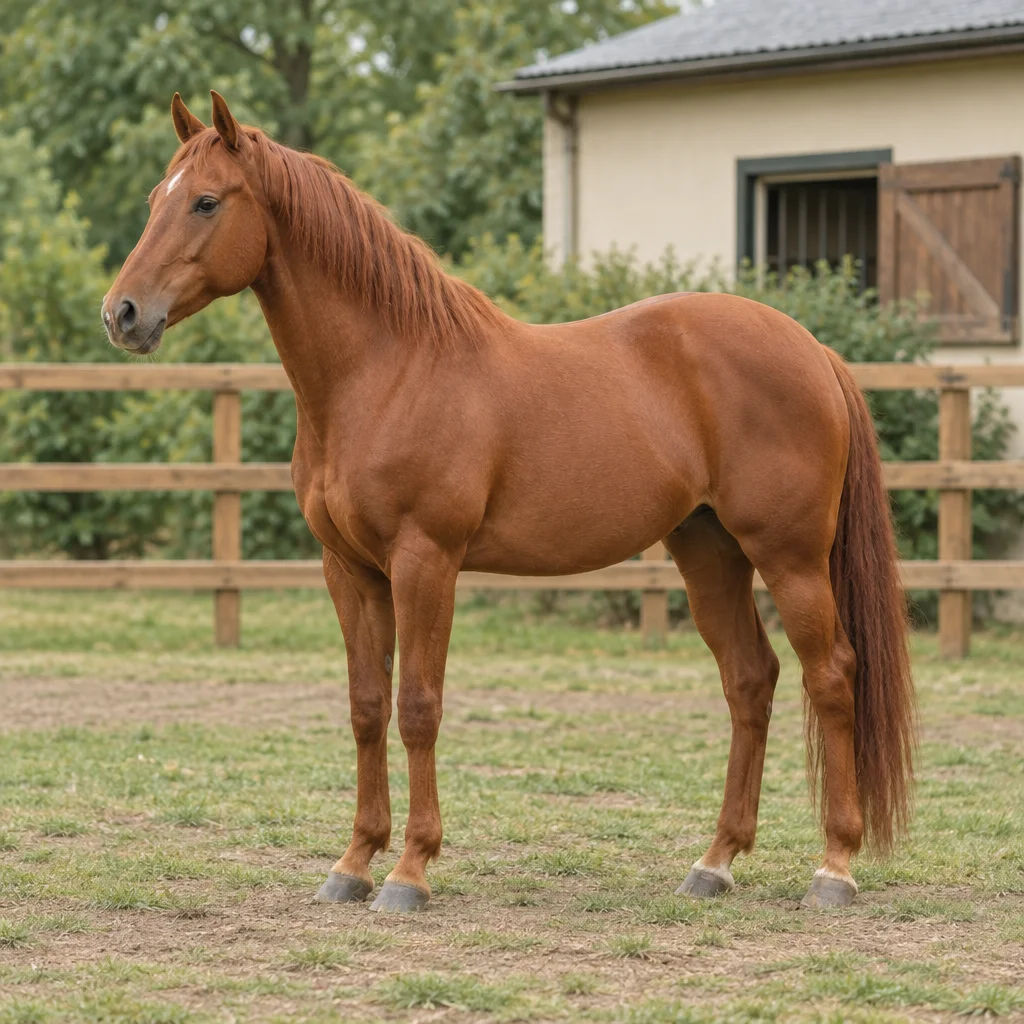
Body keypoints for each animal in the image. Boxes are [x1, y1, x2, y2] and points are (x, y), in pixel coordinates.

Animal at [102, 91, 916, 914]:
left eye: (207, 201)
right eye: (154, 199)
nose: (123, 314)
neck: (386, 371)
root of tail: (812, 349)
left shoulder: (426, 562)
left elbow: (417, 706)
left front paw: (410, 871)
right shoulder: (349, 570)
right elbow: (366, 707)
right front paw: (354, 862)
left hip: (790, 556)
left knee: (832, 676)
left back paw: (833, 867)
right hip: (708, 550)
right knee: (751, 681)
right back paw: (714, 861)